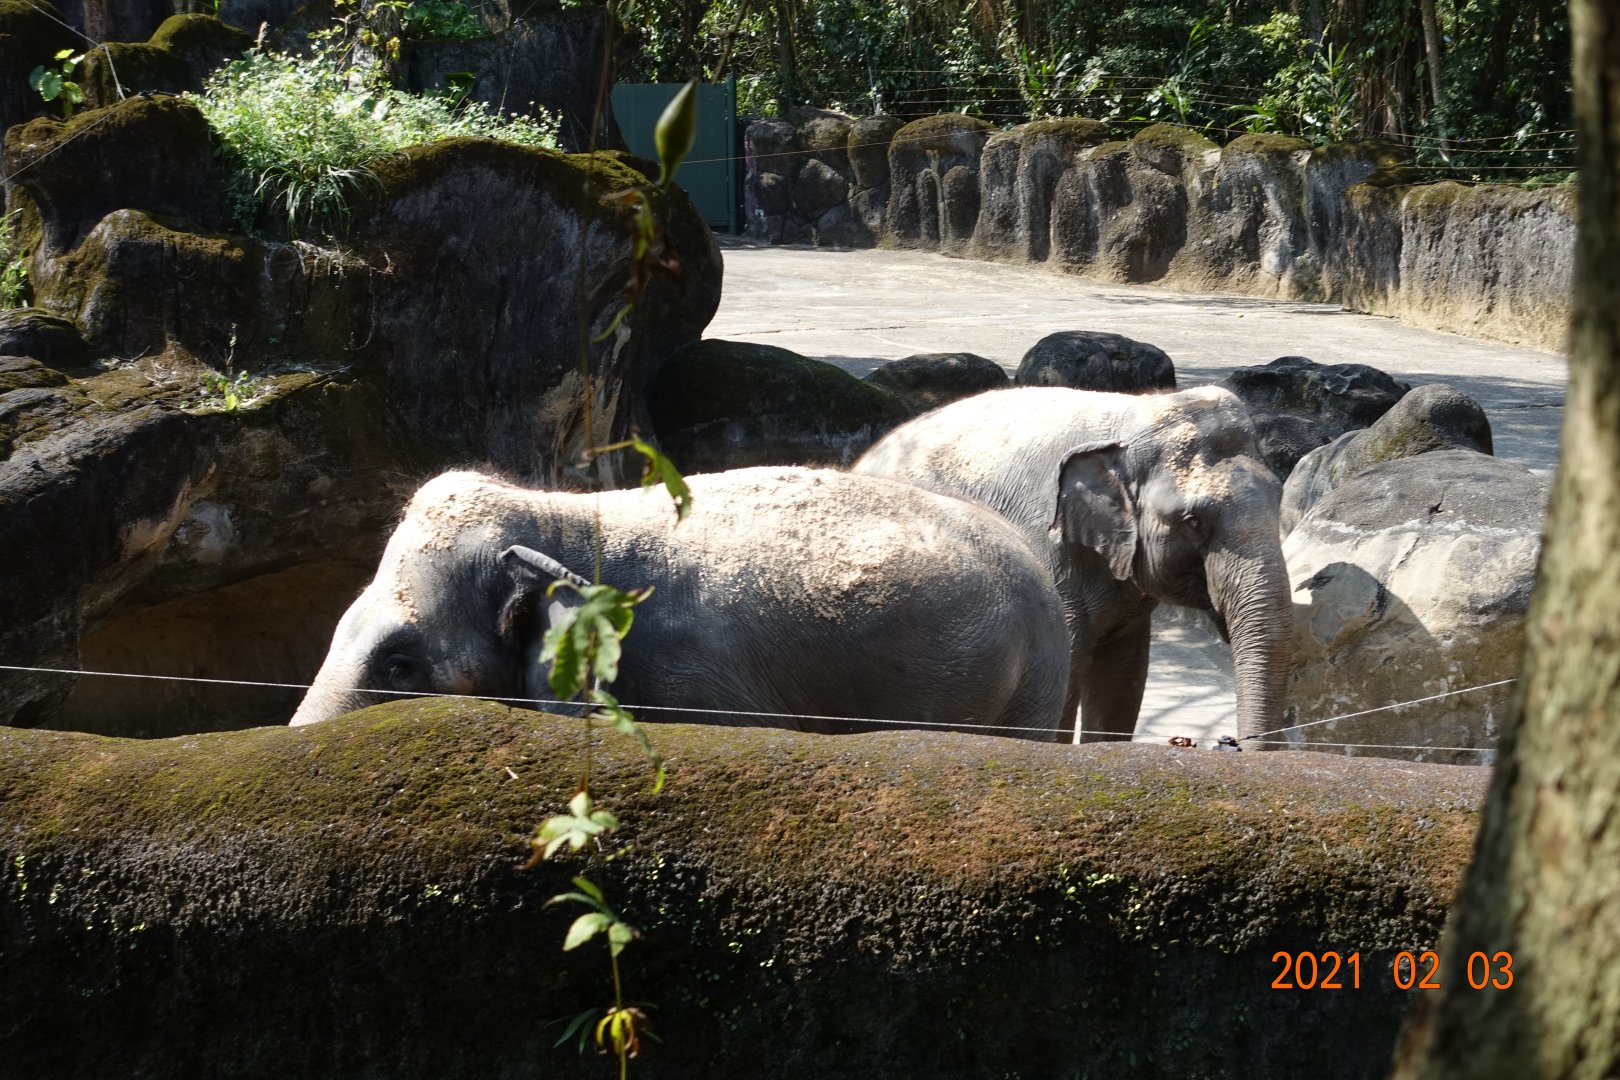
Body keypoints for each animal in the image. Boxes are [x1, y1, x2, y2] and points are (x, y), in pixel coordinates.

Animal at [853, 385, 1292, 742]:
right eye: (1194, 521)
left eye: (1279, 499)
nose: (1230, 744)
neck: (1135, 414)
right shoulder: (1050, 550)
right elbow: (1070, 678)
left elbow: (1124, 679)